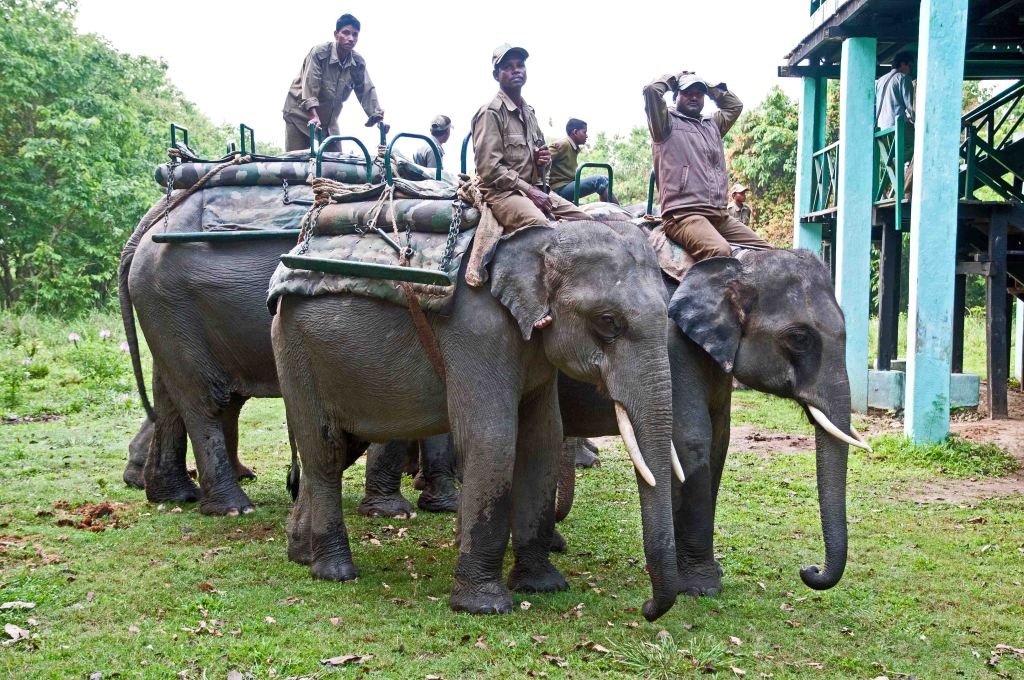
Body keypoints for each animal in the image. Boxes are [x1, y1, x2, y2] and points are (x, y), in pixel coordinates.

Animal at [272, 220, 682, 621]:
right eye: (608, 321)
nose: (647, 610)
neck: (544, 236)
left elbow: (542, 441)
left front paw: (543, 586)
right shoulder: (477, 334)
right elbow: (493, 441)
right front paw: (485, 606)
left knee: (337, 451)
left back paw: (301, 554)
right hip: (296, 353)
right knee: (324, 451)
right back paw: (335, 572)